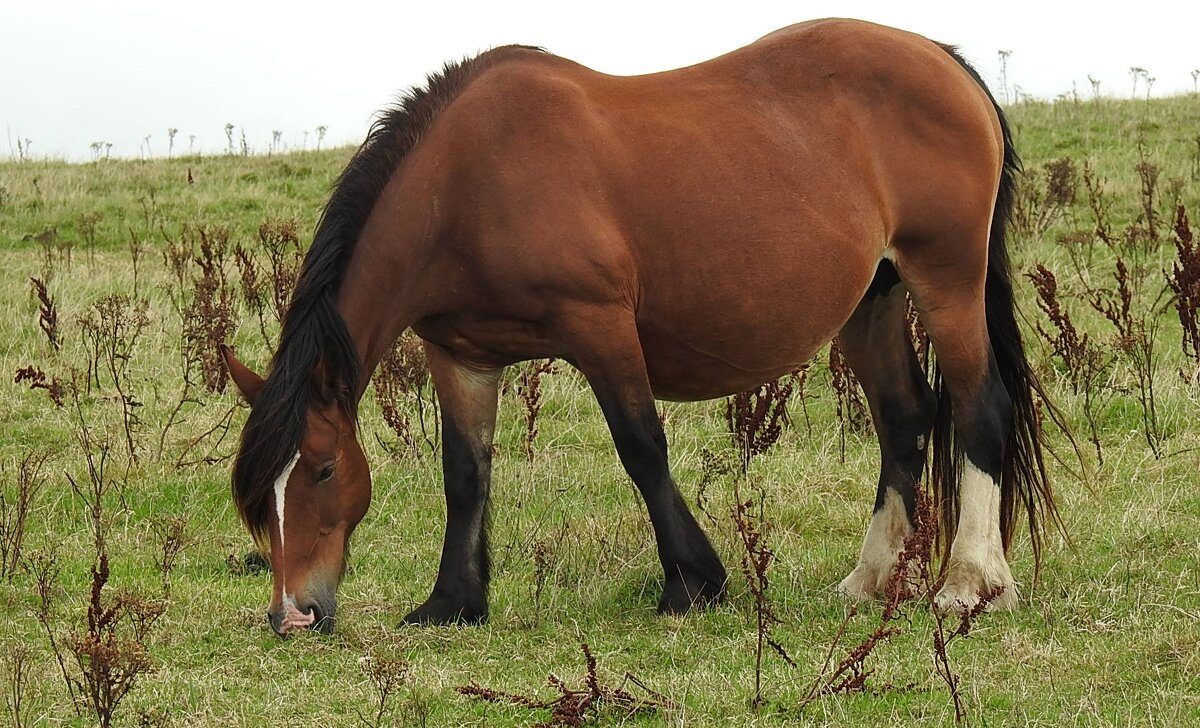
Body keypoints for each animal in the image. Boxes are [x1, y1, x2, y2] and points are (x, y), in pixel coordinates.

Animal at [223, 14, 1060, 633]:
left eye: (323, 470)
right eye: (261, 493)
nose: (294, 614)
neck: (468, 183)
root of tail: (943, 60)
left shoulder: (600, 328)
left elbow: (641, 450)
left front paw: (693, 582)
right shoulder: (460, 354)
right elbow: (465, 473)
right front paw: (453, 601)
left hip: (945, 278)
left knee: (980, 410)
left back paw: (970, 584)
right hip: (871, 300)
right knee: (905, 419)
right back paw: (872, 577)